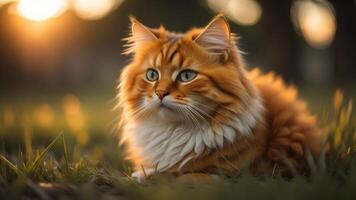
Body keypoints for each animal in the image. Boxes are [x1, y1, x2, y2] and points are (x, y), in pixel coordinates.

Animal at [117, 13, 322, 180]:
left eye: (187, 76)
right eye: (152, 75)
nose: (160, 93)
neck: (175, 131)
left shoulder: (230, 175)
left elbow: (178, 175)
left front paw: (146, 176)